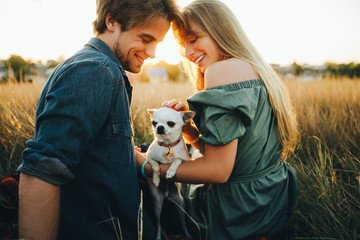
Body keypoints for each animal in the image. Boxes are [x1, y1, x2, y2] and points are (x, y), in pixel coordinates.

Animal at [146, 108, 195, 240]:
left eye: (170, 123)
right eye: (154, 123)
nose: (160, 127)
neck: (167, 145)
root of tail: (167, 194)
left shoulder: (186, 160)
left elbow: (177, 160)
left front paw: (170, 172)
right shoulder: (149, 158)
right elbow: (156, 166)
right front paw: (156, 179)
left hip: (181, 205)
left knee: (183, 223)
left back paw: (188, 234)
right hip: (158, 205)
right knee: (158, 224)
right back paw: (158, 236)